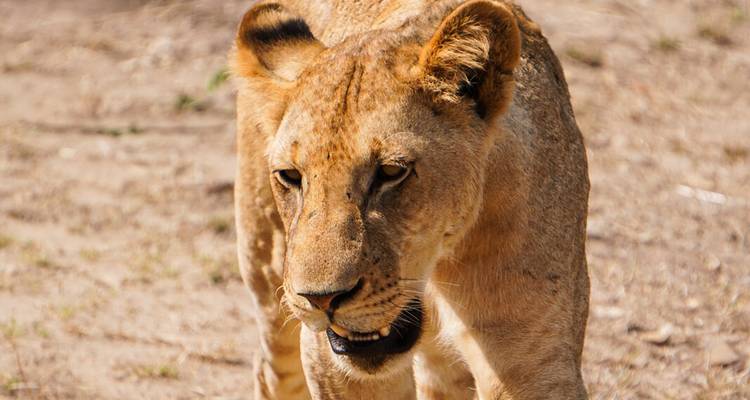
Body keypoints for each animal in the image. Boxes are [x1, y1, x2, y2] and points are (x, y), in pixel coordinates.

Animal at [231, 0, 590, 399]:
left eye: (391, 171)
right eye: (291, 176)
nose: (321, 299)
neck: (436, 266)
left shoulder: (531, 352)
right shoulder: (333, 364)